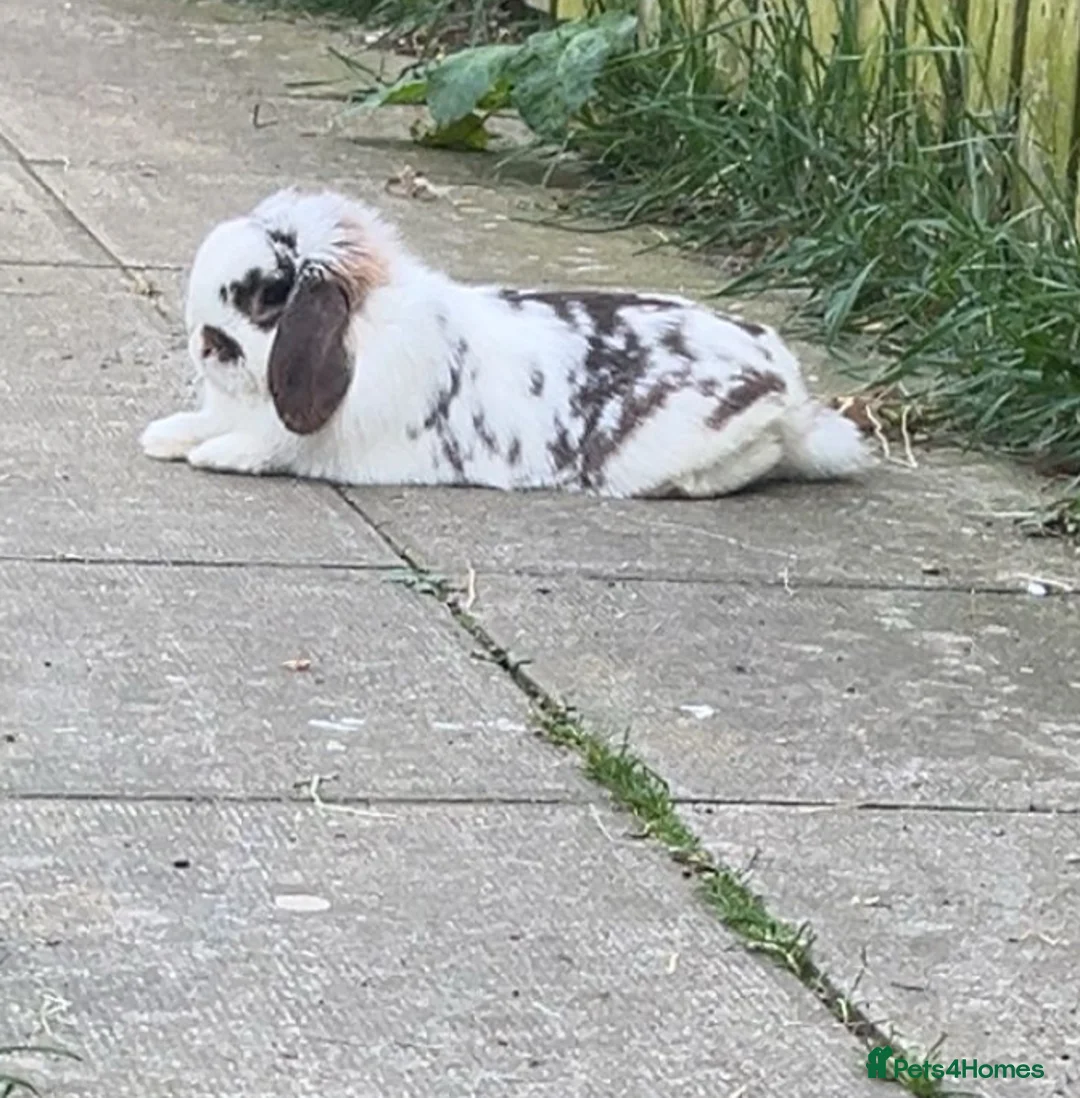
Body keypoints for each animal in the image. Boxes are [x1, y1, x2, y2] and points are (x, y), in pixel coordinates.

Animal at [140, 186, 872, 498]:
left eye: (264, 297)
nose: (204, 343)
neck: (359, 332)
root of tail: (786, 384)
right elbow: (202, 422)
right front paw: (164, 436)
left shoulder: (304, 437)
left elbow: (265, 446)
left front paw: (213, 455)